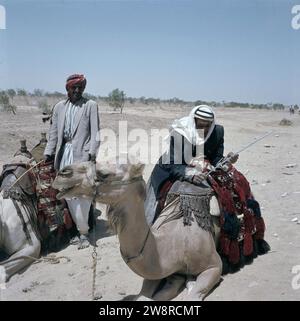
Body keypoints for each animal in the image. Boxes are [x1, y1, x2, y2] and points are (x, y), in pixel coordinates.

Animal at [52, 160, 223, 300]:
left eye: (104, 174)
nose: (63, 173)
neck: (177, 243)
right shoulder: (158, 272)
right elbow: (147, 295)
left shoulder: (214, 266)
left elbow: (193, 294)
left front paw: (190, 283)